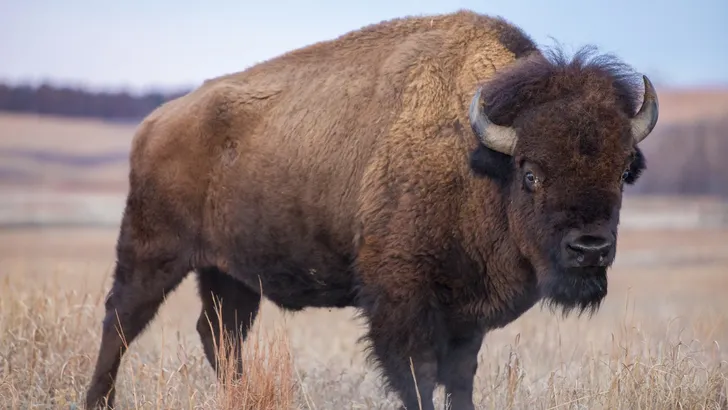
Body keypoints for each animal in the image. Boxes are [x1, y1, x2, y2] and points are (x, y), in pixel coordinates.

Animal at [85, 9, 660, 410]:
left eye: (620, 171)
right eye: (531, 172)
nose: (590, 248)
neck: (476, 160)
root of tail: (156, 122)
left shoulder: (465, 318)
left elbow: (460, 379)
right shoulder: (401, 303)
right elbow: (418, 377)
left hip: (229, 274)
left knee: (220, 334)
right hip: (153, 251)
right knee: (121, 320)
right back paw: (99, 400)